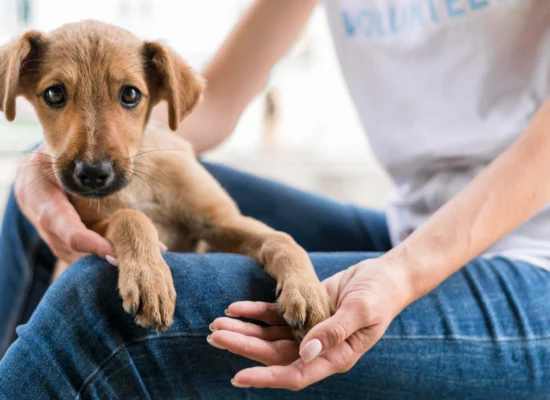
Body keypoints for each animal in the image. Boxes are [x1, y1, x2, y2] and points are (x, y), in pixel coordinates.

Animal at [0, 20, 334, 336]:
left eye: (130, 94)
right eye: (54, 93)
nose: (93, 174)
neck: (139, 184)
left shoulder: (221, 222)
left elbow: (281, 239)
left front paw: (308, 291)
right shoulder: (89, 229)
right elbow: (130, 217)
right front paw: (149, 279)